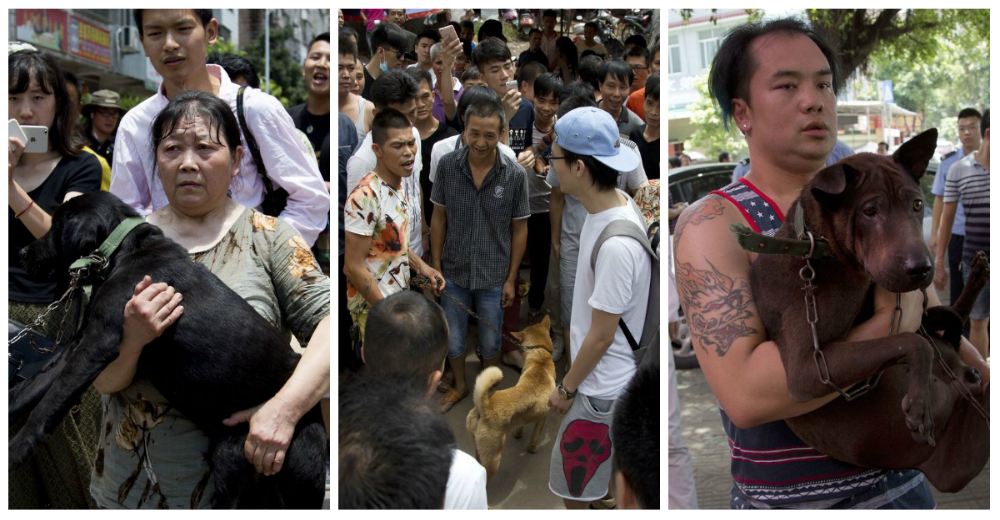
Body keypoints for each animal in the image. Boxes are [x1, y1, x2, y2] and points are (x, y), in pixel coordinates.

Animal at [9, 191, 326, 508]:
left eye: (56, 227)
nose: (22, 253)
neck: (122, 250)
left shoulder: (97, 343)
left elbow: (49, 402)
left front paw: (16, 449)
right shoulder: (79, 344)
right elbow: (34, 386)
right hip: (231, 464)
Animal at [466, 314, 560, 486]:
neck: (540, 358)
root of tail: (484, 404)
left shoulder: (523, 417)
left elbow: (520, 425)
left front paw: (518, 434)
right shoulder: (542, 418)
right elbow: (535, 437)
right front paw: (532, 449)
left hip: (478, 449)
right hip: (494, 459)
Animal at [752, 128, 988, 494]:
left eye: (917, 204)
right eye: (869, 211)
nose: (922, 269)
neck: (820, 247)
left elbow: (918, 333)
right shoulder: (808, 368)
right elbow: (911, 341)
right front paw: (919, 403)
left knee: (954, 319)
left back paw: (978, 274)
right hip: (961, 458)